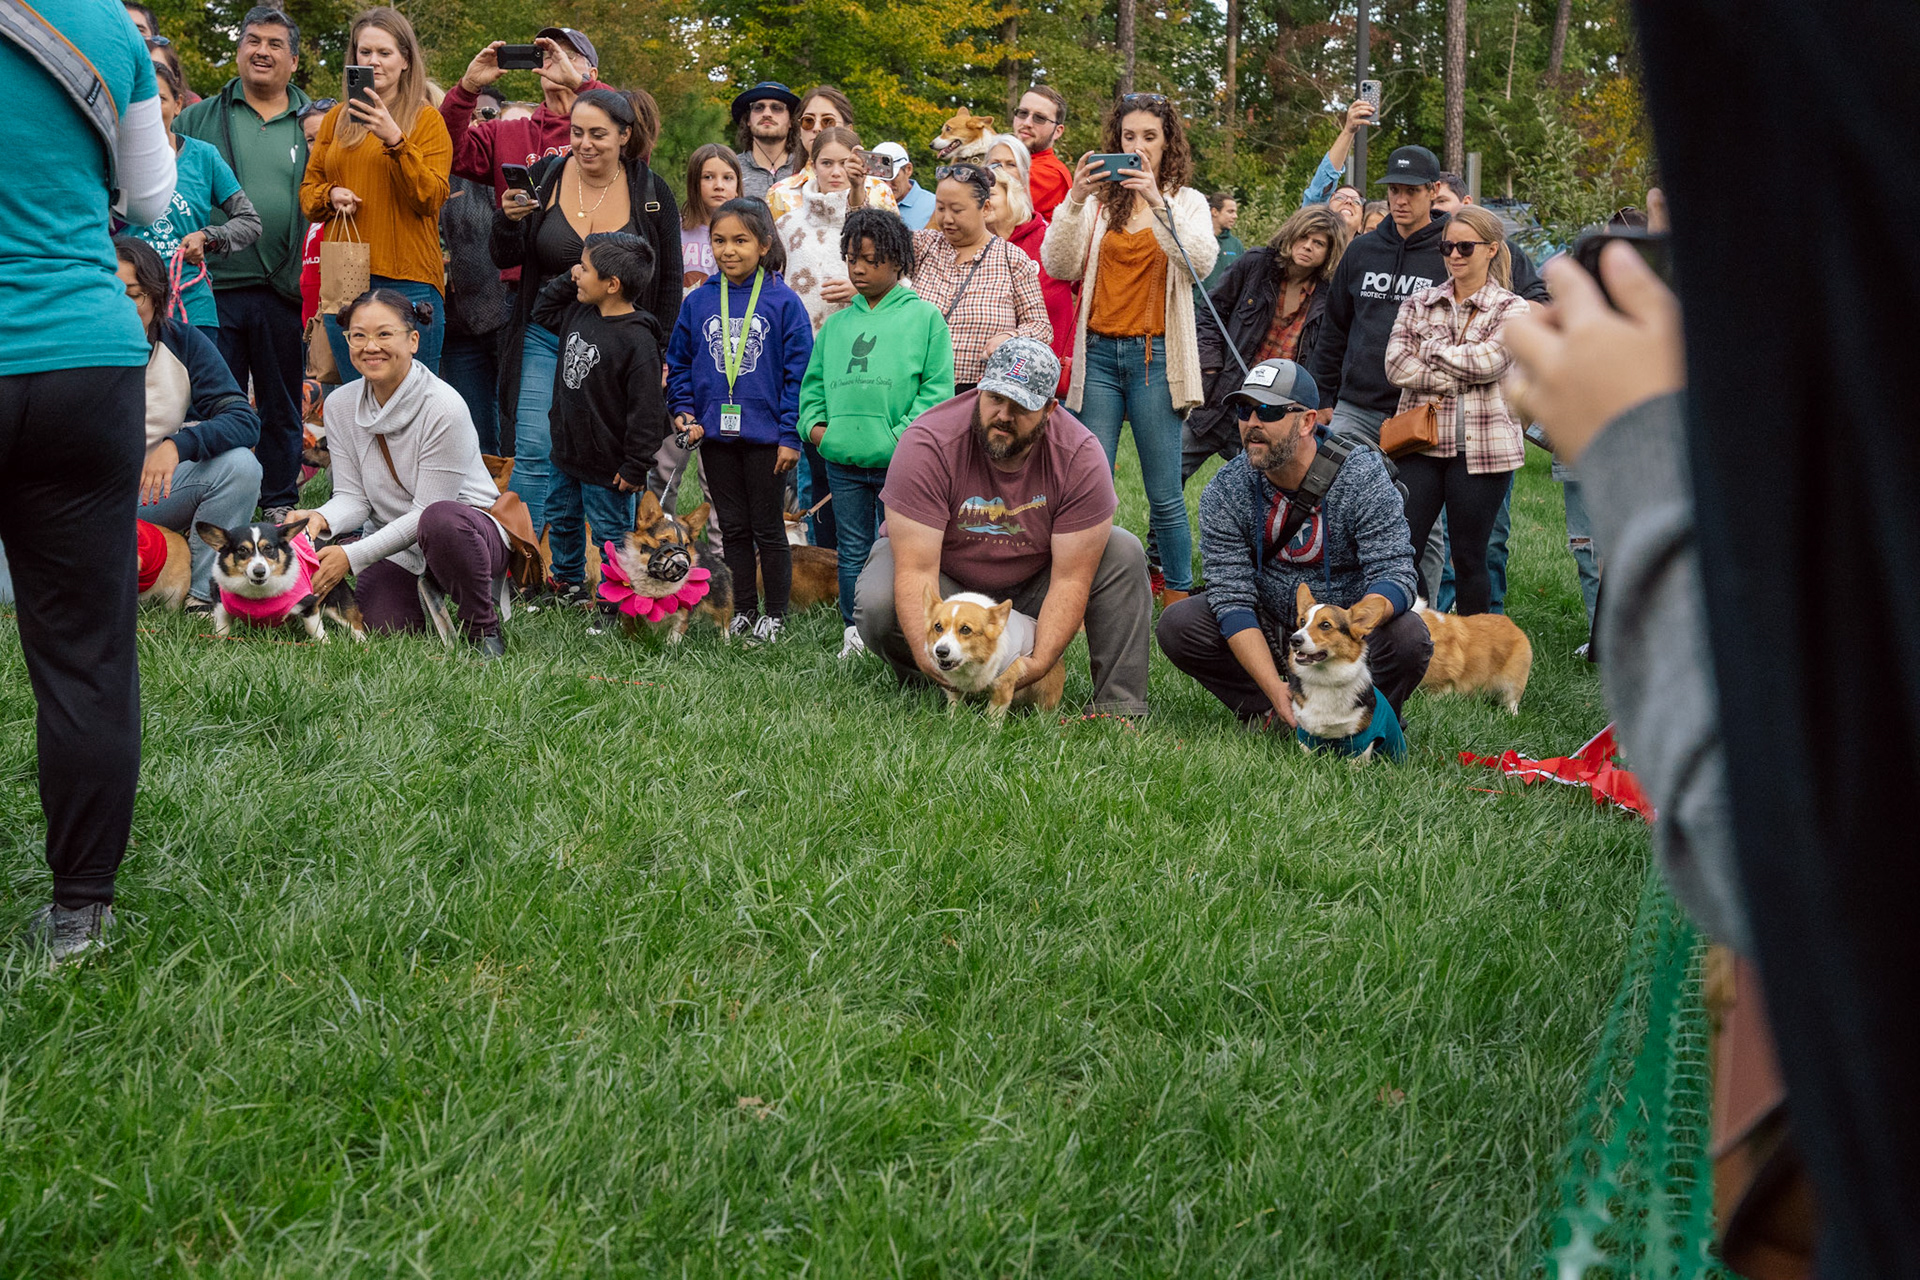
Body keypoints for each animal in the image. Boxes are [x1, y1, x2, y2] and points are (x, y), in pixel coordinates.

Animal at [196, 518, 366, 641]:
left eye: (268, 548)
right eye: (242, 550)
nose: (259, 571)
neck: (257, 594)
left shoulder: (309, 604)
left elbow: (314, 629)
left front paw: (325, 644)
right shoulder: (220, 605)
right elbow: (221, 630)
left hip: (335, 597)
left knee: (354, 622)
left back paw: (361, 643)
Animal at [606, 492, 734, 640]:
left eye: (686, 544)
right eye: (663, 541)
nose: (682, 565)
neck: (658, 581)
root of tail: (711, 553)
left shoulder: (680, 617)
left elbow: (673, 639)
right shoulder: (629, 612)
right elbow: (632, 635)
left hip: (721, 606)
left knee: (723, 625)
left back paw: (724, 641)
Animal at [922, 585, 1065, 722]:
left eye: (965, 629)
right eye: (938, 626)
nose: (941, 651)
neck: (970, 665)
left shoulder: (1003, 687)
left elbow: (995, 715)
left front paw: (991, 729)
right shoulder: (953, 688)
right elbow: (954, 704)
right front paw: (952, 721)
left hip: (1047, 689)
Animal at [1287, 583, 1404, 761]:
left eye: (1325, 625)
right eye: (1302, 621)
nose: (1294, 639)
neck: (1324, 679)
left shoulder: (1360, 739)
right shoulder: (1306, 734)